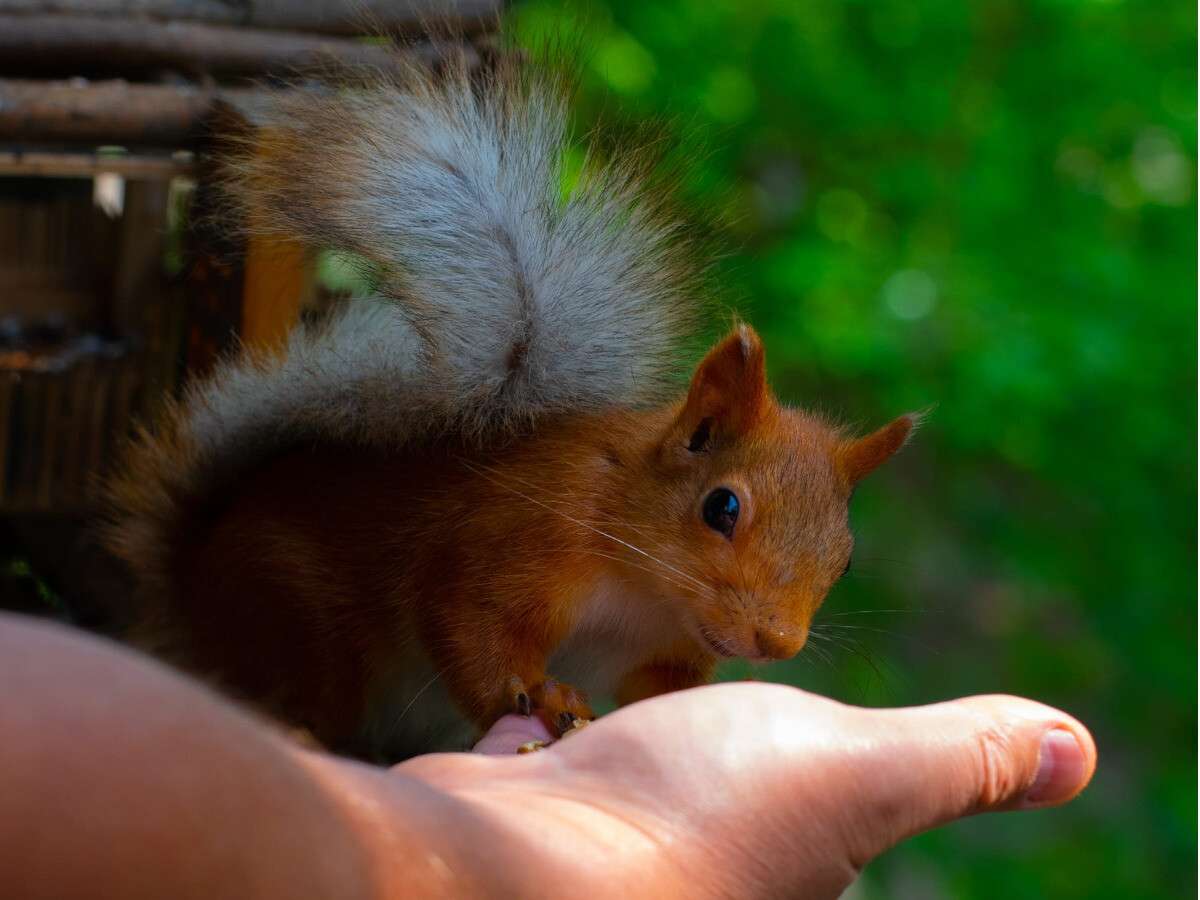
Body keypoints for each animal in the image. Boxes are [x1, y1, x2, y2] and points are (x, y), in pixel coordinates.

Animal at [103, 52, 916, 763]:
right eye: (722, 507)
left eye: (846, 558)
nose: (778, 643)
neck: (645, 589)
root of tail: (185, 586)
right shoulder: (519, 535)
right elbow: (469, 625)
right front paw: (541, 696)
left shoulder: (664, 650)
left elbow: (654, 693)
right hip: (298, 621)